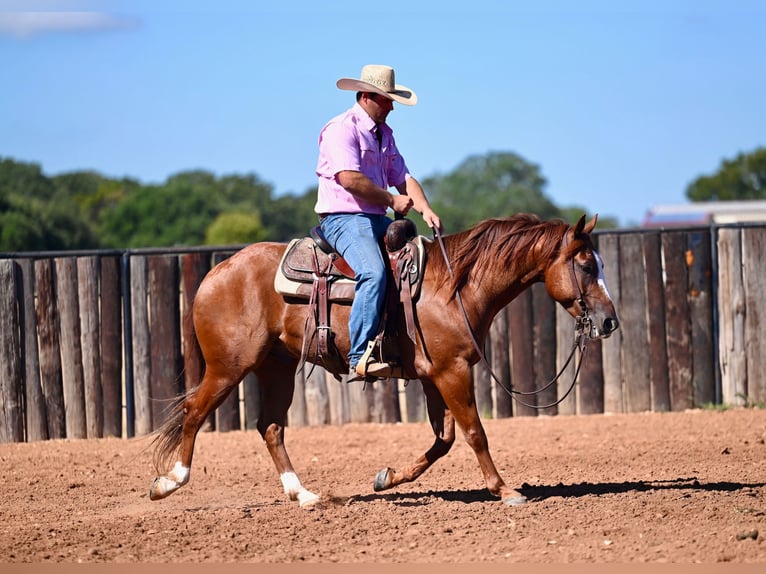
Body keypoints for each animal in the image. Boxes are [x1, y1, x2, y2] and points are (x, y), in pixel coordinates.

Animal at [148, 215, 616, 508]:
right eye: (586, 265)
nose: (609, 320)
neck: (454, 286)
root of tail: (215, 272)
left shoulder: (433, 375)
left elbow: (444, 439)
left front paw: (387, 477)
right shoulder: (452, 371)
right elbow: (474, 433)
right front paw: (504, 490)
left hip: (276, 366)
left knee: (271, 427)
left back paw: (304, 495)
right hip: (228, 367)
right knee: (194, 413)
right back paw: (169, 482)